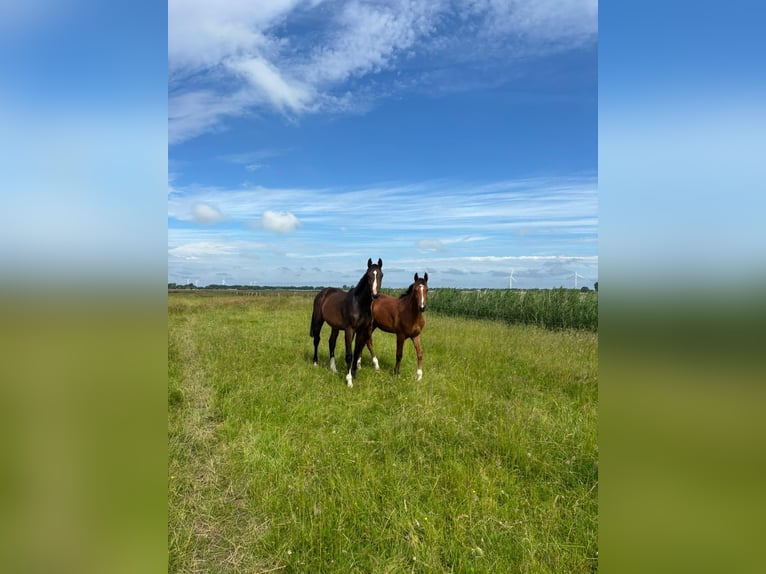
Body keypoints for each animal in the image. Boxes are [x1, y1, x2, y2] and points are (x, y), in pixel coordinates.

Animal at [310, 258, 383, 387]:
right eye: (368, 275)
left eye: (381, 275)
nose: (375, 294)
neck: (359, 304)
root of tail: (323, 292)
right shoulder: (349, 330)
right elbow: (349, 355)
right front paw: (349, 380)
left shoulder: (361, 330)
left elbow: (357, 351)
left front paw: (354, 375)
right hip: (318, 321)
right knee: (317, 340)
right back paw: (315, 363)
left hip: (335, 327)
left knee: (331, 343)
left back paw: (333, 369)